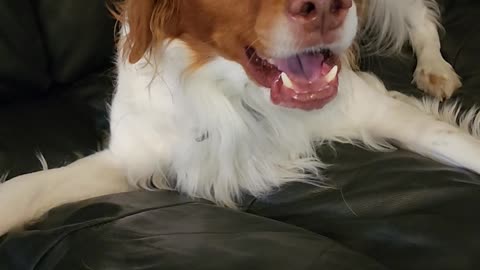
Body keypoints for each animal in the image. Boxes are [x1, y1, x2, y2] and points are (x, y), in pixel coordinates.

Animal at [0, 0, 472, 235]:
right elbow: (31, 188)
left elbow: (453, 140)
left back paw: (435, 69)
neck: (238, 89)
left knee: (420, 18)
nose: (325, 10)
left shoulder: (370, 104)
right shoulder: (136, 153)